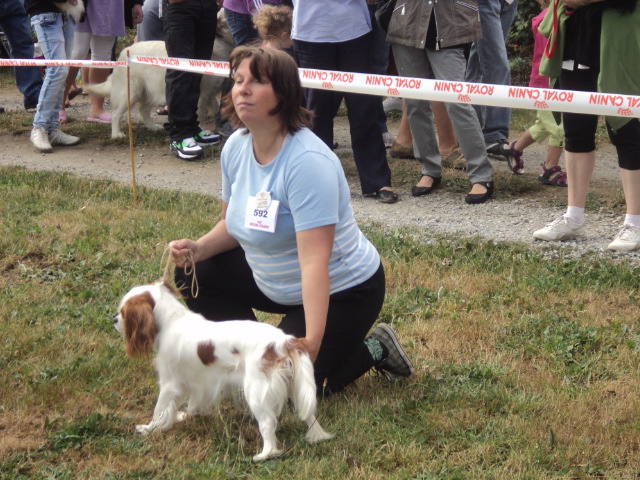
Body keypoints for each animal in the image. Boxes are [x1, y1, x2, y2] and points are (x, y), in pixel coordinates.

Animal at [86, 10, 232, 139]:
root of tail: (125, 51)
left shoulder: (212, 91)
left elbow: (217, 108)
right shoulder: (202, 93)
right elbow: (200, 113)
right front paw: (203, 130)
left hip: (149, 91)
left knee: (143, 110)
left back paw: (153, 127)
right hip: (131, 91)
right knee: (116, 114)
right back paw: (117, 134)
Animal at [115, 282, 336, 462]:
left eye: (123, 313)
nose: (114, 319)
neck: (172, 320)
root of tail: (284, 341)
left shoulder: (169, 382)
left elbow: (159, 409)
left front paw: (149, 428)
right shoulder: (193, 381)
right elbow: (185, 404)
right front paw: (181, 416)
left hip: (256, 390)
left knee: (266, 424)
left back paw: (264, 454)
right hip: (295, 384)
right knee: (309, 414)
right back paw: (317, 436)